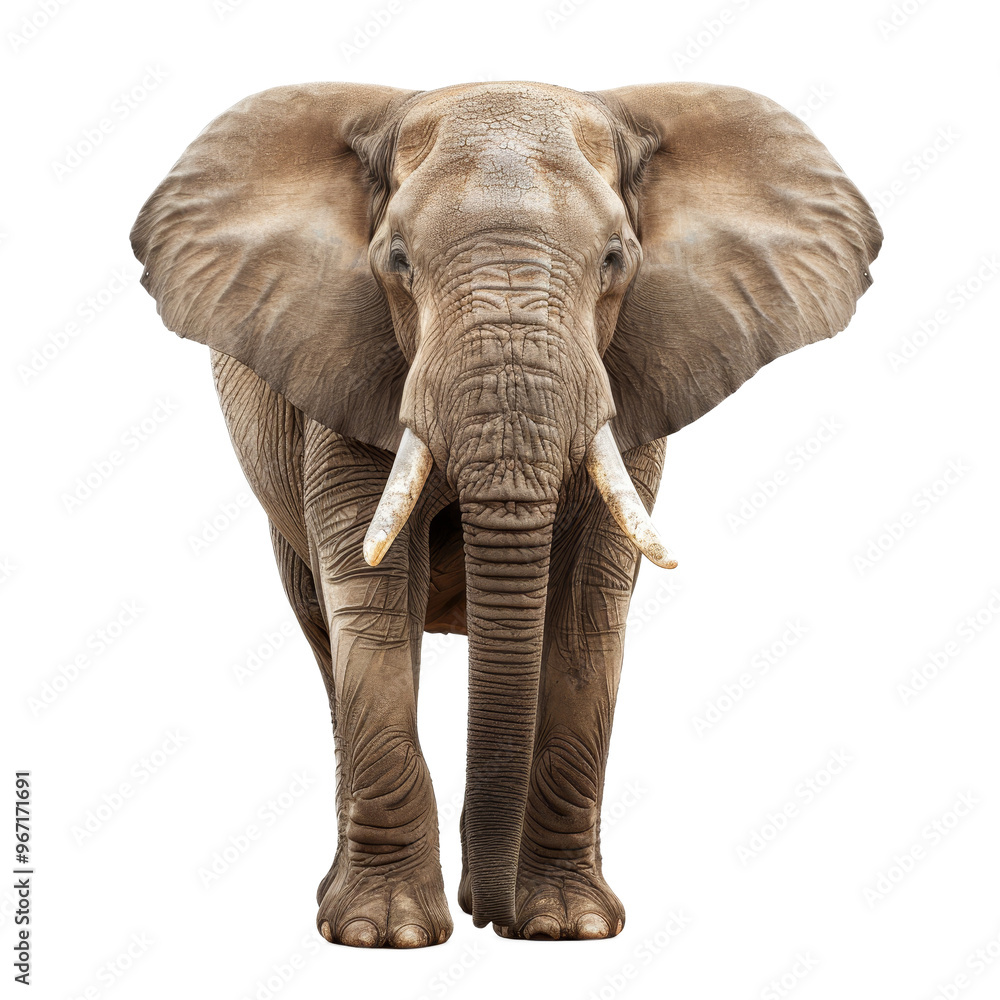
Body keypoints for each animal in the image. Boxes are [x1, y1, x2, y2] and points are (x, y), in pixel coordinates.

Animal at [131, 80, 881, 947]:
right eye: (395, 259)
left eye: (616, 259)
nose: (488, 919)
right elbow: (372, 606)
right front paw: (386, 935)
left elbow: (588, 614)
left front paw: (567, 926)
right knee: (324, 632)